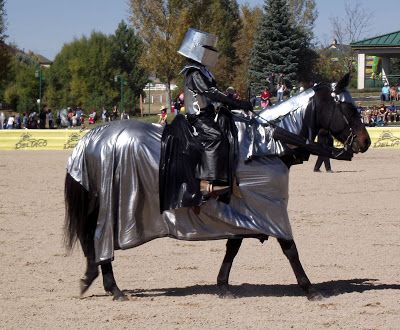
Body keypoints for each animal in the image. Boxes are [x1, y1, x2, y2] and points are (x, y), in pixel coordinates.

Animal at [64, 75, 370, 302]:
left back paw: (94, 279)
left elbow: (232, 247)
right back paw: (113, 287)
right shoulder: (268, 209)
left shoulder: (244, 211)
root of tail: (93, 137)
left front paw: (223, 285)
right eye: (349, 108)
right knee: (99, 237)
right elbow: (289, 248)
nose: (365, 142)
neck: (266, 142)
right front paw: (309, 288)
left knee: (91, 238)